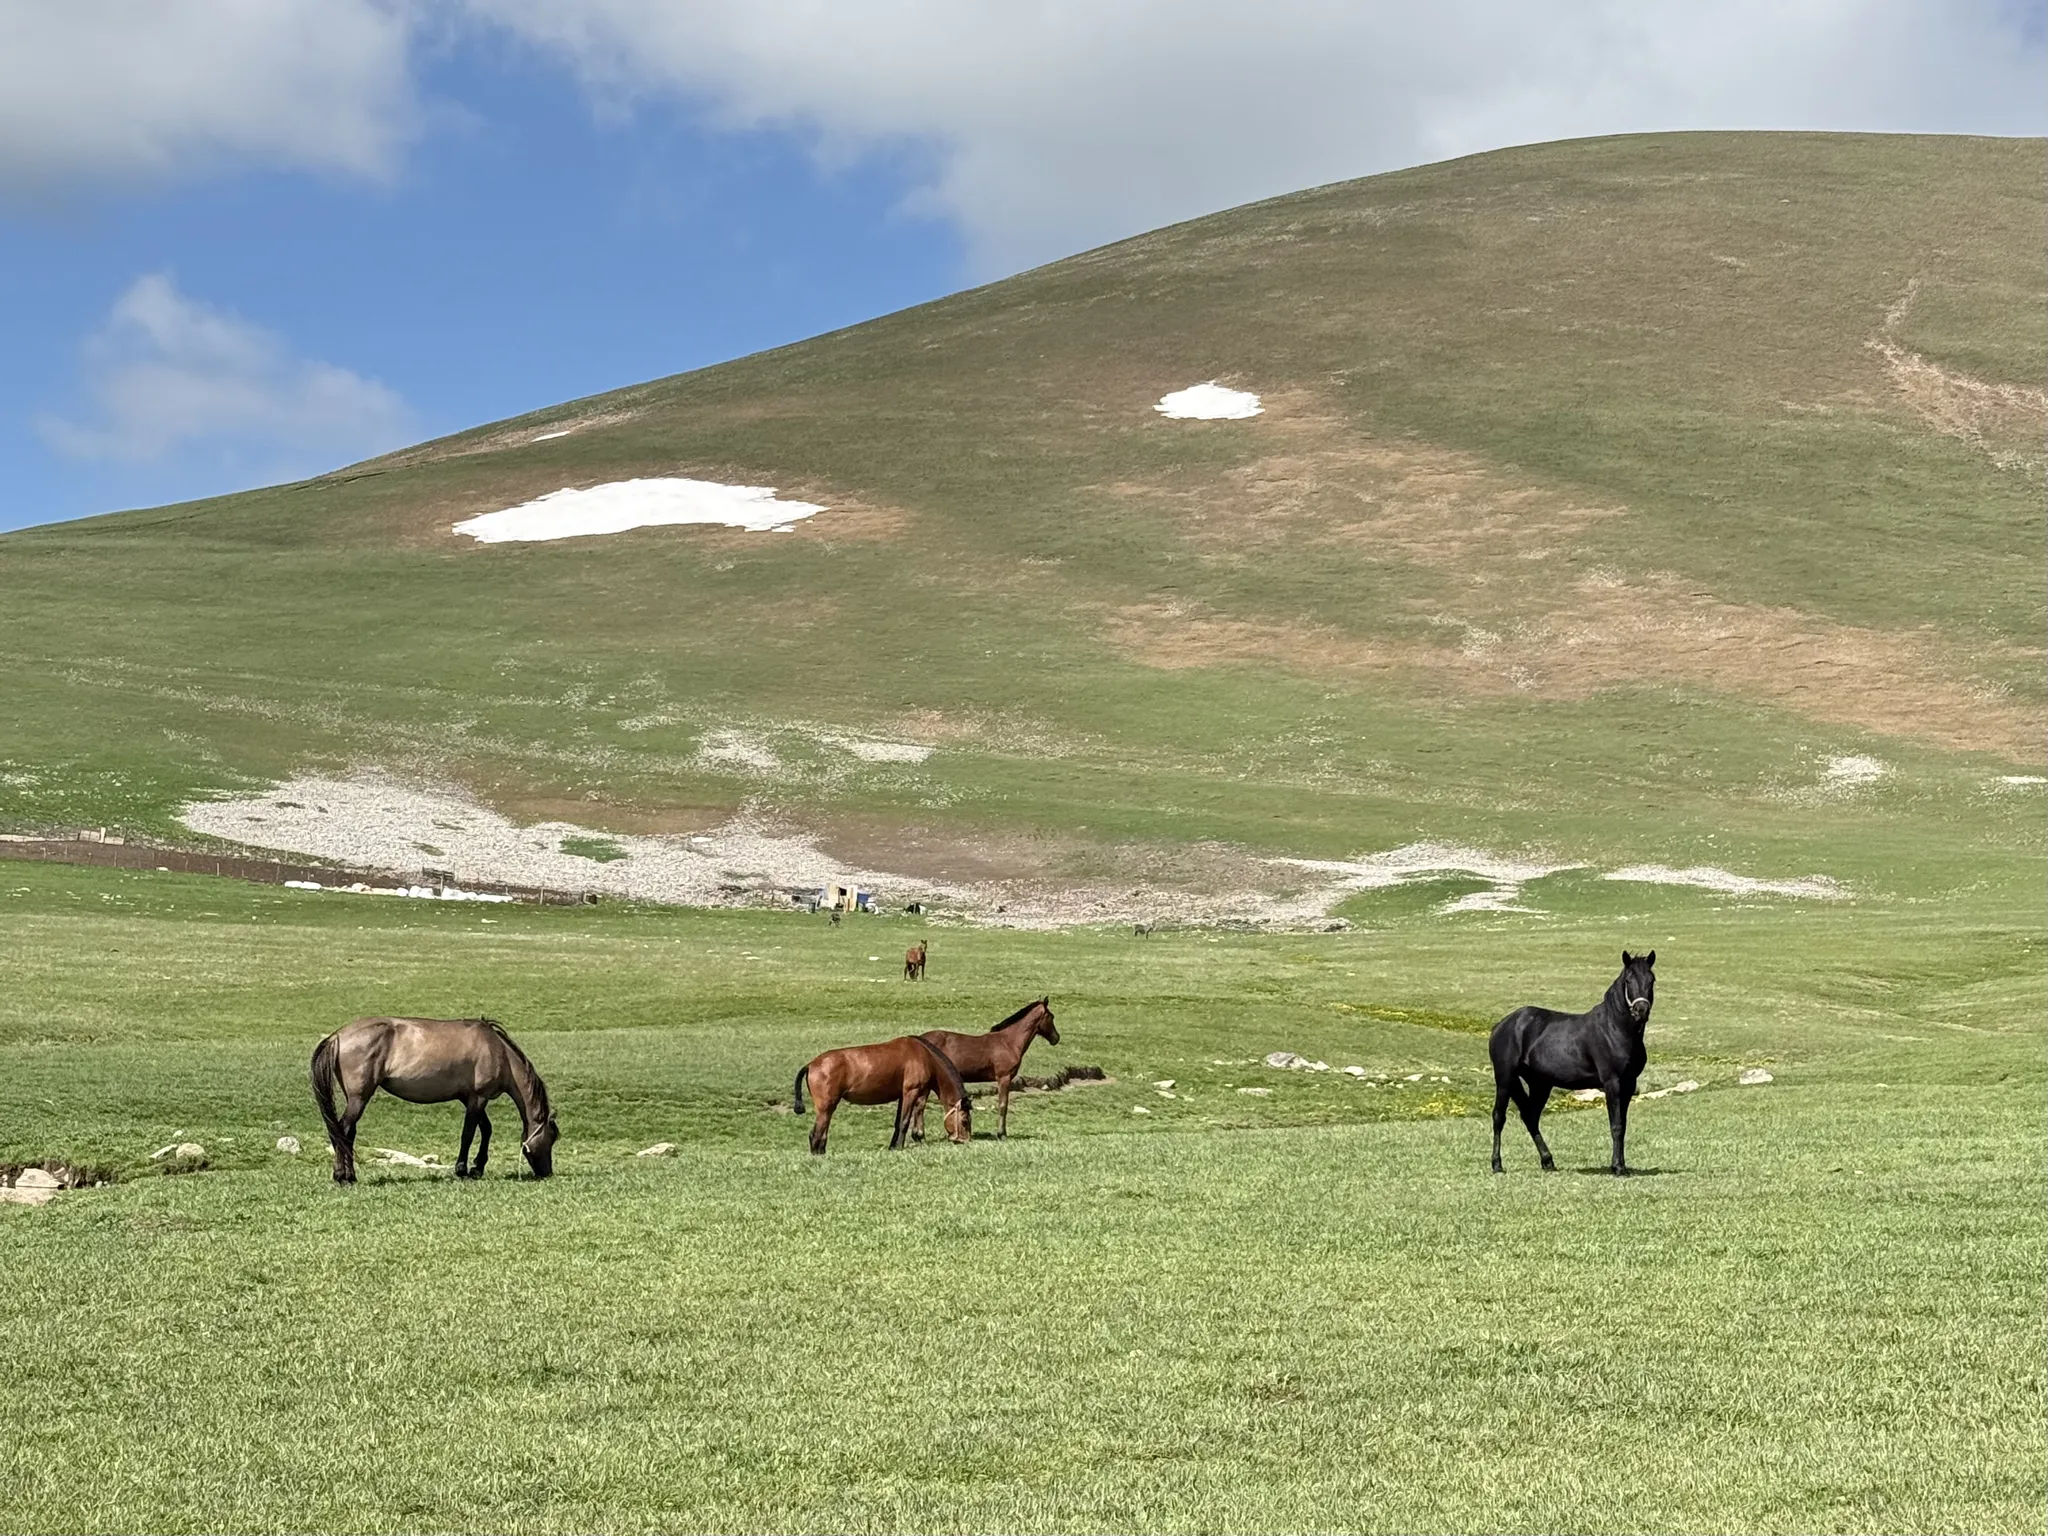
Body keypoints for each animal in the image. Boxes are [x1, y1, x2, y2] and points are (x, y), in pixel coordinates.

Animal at [311, 1016, 560, 1184]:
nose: (547, 1173)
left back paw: (350, 1175)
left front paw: (477, 1168)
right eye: (552, 1138)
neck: (498, 1051)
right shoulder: (478, 1098)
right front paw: (462, 1170)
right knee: (343, 1129)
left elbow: (486, 1130)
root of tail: (337, 1036)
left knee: (347, 1133)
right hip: (359, 1098)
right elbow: (469, 1133)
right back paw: (342, 1176)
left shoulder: (470, 1099)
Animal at [792, 1035, 971, 1155]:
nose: (965, 1140)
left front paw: (893, 1146)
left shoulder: (902, 1095)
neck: (924, 1056)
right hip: (826, 1108)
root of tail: (811, 1065)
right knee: (815, 1134)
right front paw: (900, 1146)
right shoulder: (911, 1092)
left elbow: (898, 1122)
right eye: (964, 1120)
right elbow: (904, 1122)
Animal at [912, 996, 1059, 1141]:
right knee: (920, 1105)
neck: (1008, 1042)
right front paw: (1002, 1134)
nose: (1056, 1038)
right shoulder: (1004, 1078)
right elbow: (1003, 1105)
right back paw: (920, 1136)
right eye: (1051, 1016)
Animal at [1490, 951, 1656, 1176]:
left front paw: (1621, 1165)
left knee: (1530, 1117)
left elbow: (1622, 1125)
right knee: (1499, 1117)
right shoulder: (1612, 1083)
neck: (1615, 1029)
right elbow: (1616, 1126)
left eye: (1651, 980)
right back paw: (1497, 1164)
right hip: (1505, 1079)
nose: (1641, 1010)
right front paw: (1618, 1167)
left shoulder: (1629, 1084)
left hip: (1540, 1084)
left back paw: (1548, 1162)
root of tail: (1502, 1025)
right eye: (1628, 980)